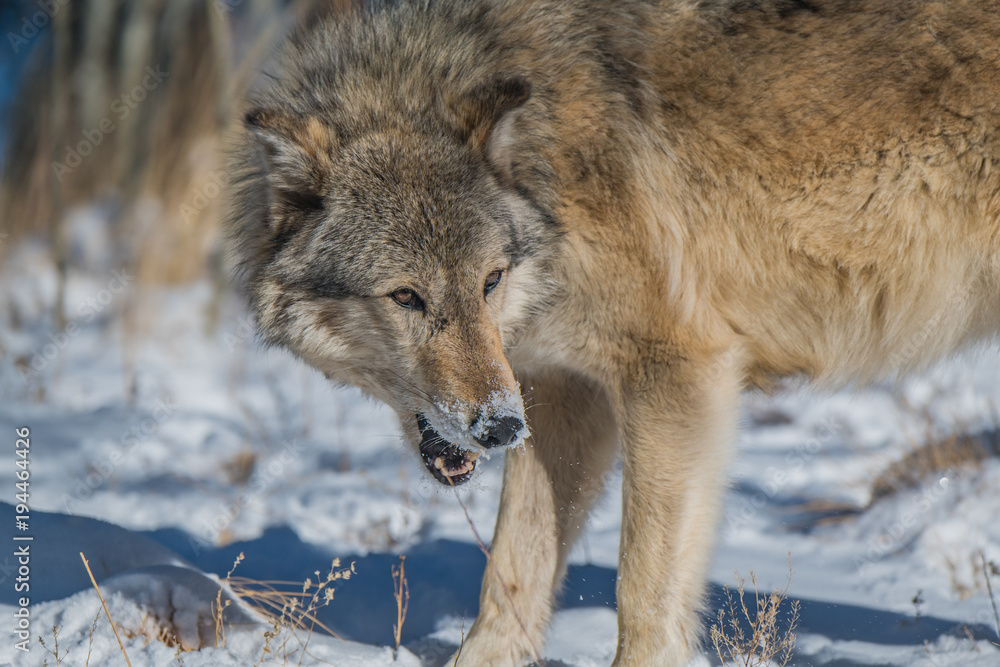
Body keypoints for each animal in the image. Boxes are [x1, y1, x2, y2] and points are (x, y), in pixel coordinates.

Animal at [226, 0, 1000, 664]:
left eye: (489, 281)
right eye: (407, 296)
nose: (498, 427)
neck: (550, 177)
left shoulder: (676, 374)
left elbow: (643, 590)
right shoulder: (556, 391)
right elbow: (509, 576)